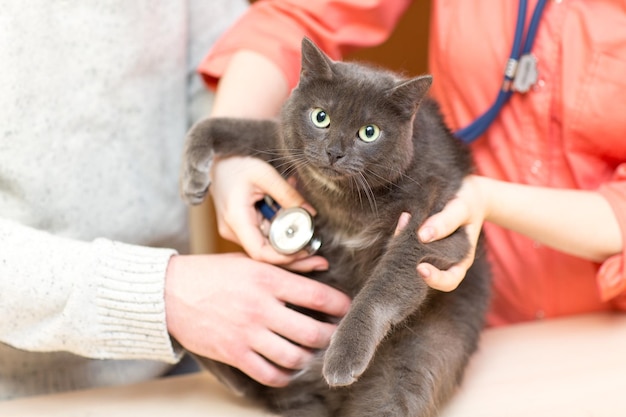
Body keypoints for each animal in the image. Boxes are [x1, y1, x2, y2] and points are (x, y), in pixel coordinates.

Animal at [178, 37, 490, 414]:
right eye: (320, 116)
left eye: (369, 132)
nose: (334, 152)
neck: (344, 202)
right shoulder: (286, 144)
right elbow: (240, 129)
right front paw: (193, 171)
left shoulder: (435, 220)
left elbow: (387, 280)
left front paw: (344, 354)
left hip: (416, 358)